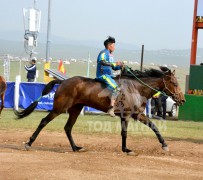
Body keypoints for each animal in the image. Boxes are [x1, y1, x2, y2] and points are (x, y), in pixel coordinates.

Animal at [13, 66, 186, 155]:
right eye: (175, 83)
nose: (182, 100)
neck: (136, 88)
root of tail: (63, 82)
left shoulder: (138, 114)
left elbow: (154, 126)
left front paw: (164, 144)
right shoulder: (126, 115)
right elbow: (124, 133)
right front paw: (126, 149)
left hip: (75, 109)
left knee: (68, 128)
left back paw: (76, 147)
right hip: (59, 108)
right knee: (44, 122)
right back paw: (29, 143)